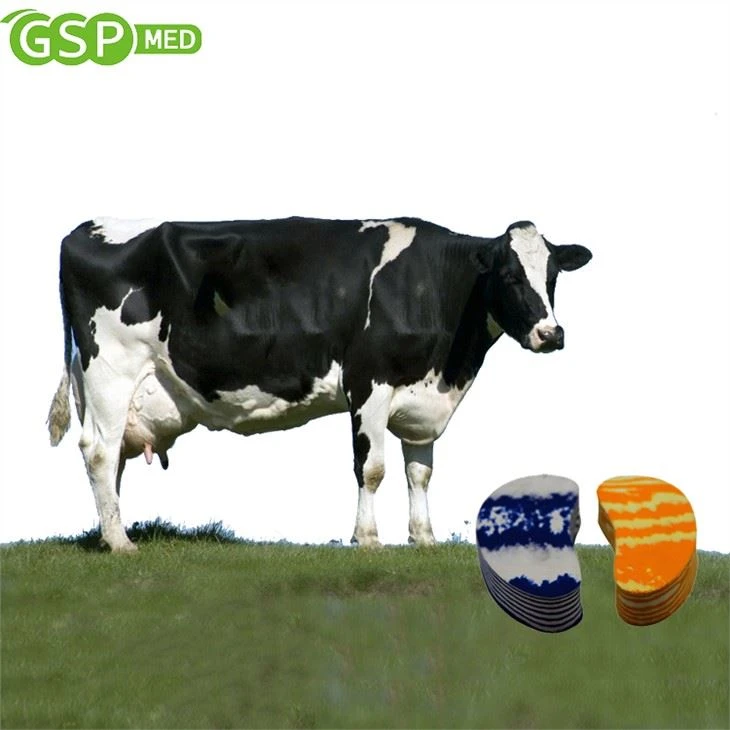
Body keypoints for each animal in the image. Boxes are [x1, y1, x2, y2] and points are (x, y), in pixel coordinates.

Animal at [47, 216, 591, 552]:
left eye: (552, 276)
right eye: (510, 276)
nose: (552, 334)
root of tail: (84, 230)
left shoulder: (422, 398)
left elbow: (420, 473)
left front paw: (423, 537)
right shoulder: (368, 382)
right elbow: (371, 468)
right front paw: (367, 538)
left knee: (111, 459)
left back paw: (108, 531)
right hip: (110, 371)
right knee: (99, 452)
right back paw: (121, 542)